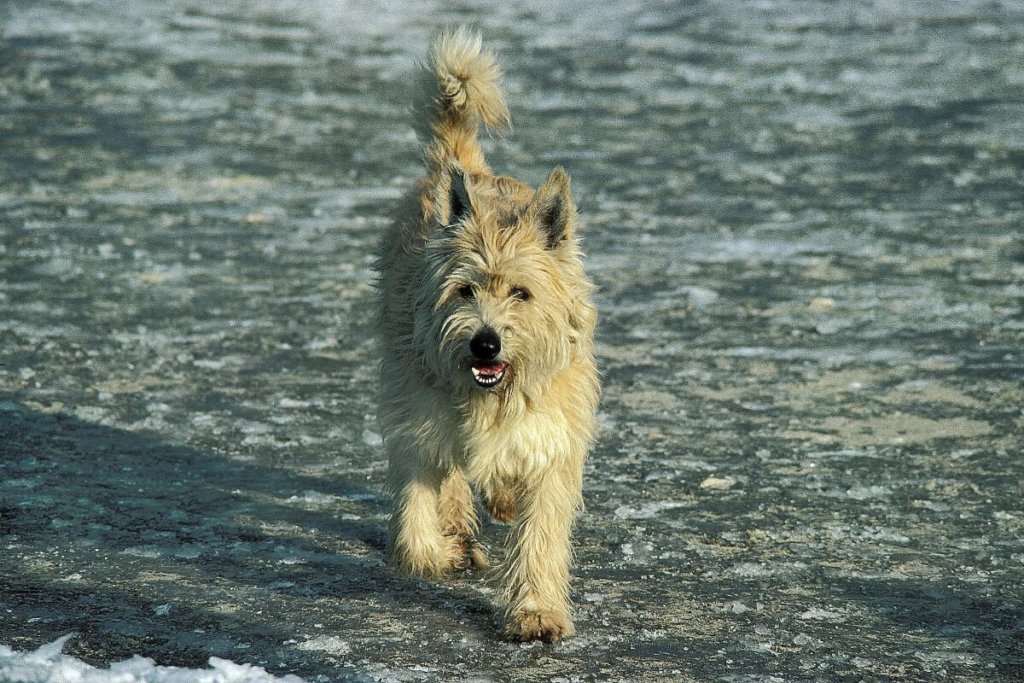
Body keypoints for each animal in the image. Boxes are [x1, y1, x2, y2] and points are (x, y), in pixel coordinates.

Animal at [376, 29, 598, 643]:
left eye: (521, 292)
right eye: (465, 290)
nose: (485, 343)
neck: (488, 399)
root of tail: (461, 167)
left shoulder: (552, 440)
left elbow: (540, 530)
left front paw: (536, 610)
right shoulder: (415, 415)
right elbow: (417, 519)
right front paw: (440, 549)